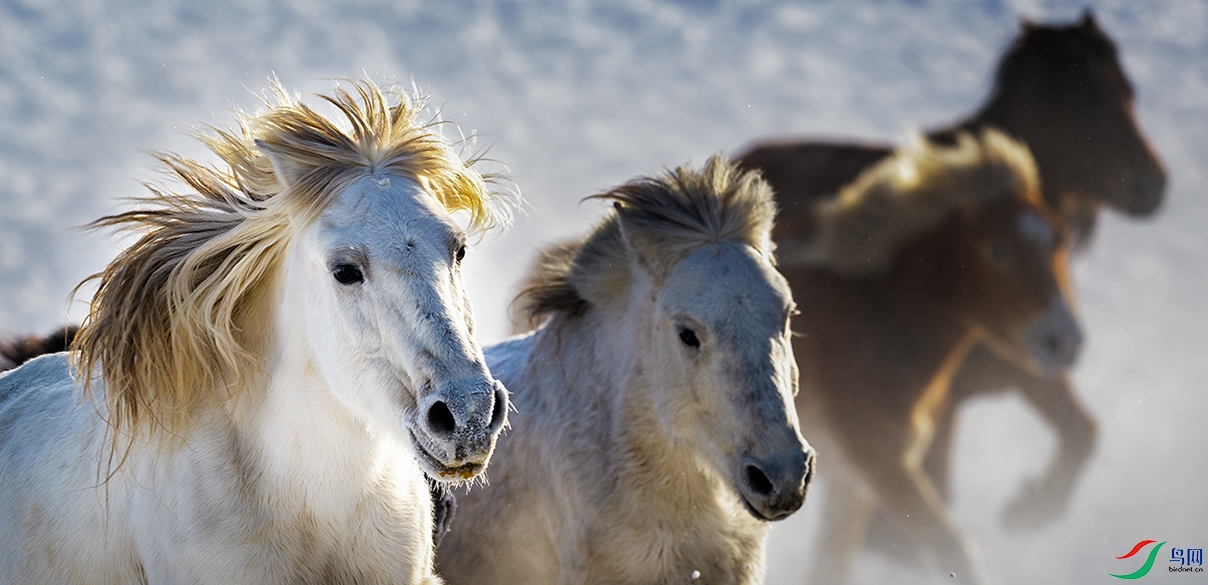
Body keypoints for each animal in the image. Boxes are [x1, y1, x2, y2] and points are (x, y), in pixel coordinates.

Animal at [792, 130, 1077, 582]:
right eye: (998, 251)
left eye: (1059, 239)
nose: (1065, 341)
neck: (878, 324)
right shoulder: (884, 465)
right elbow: (956, 551)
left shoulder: (851, 484)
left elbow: (830, 566)